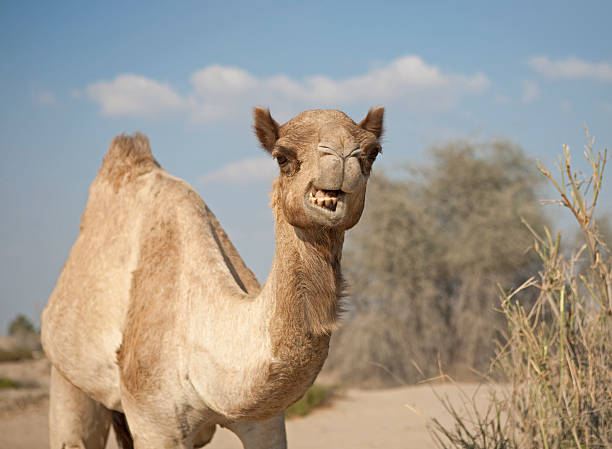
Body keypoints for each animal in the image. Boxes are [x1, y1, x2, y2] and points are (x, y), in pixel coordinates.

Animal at [41, 107, 382, 446]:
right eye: (282, 157)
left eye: (372, 152)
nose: (341, 155)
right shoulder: (156, 423)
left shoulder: (266, 422)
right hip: (66, 373)